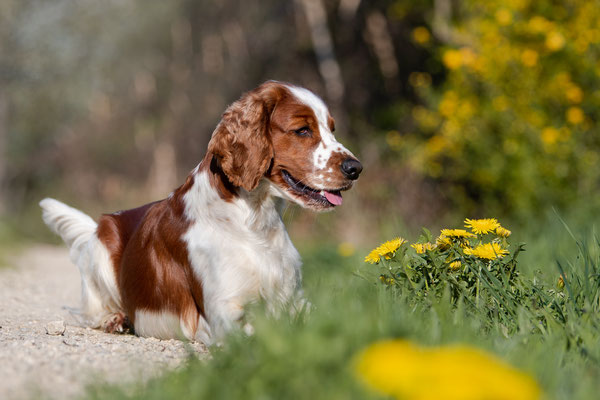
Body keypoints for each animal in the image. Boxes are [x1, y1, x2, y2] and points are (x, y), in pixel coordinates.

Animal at [42, 81, 364, 344]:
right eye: (302, 130)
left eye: (331, 128)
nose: (356, 168)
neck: (253, 220)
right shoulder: (223, 314)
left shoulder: (294, 298)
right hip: (101, 249)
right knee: (91, 311)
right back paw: (114, 319)